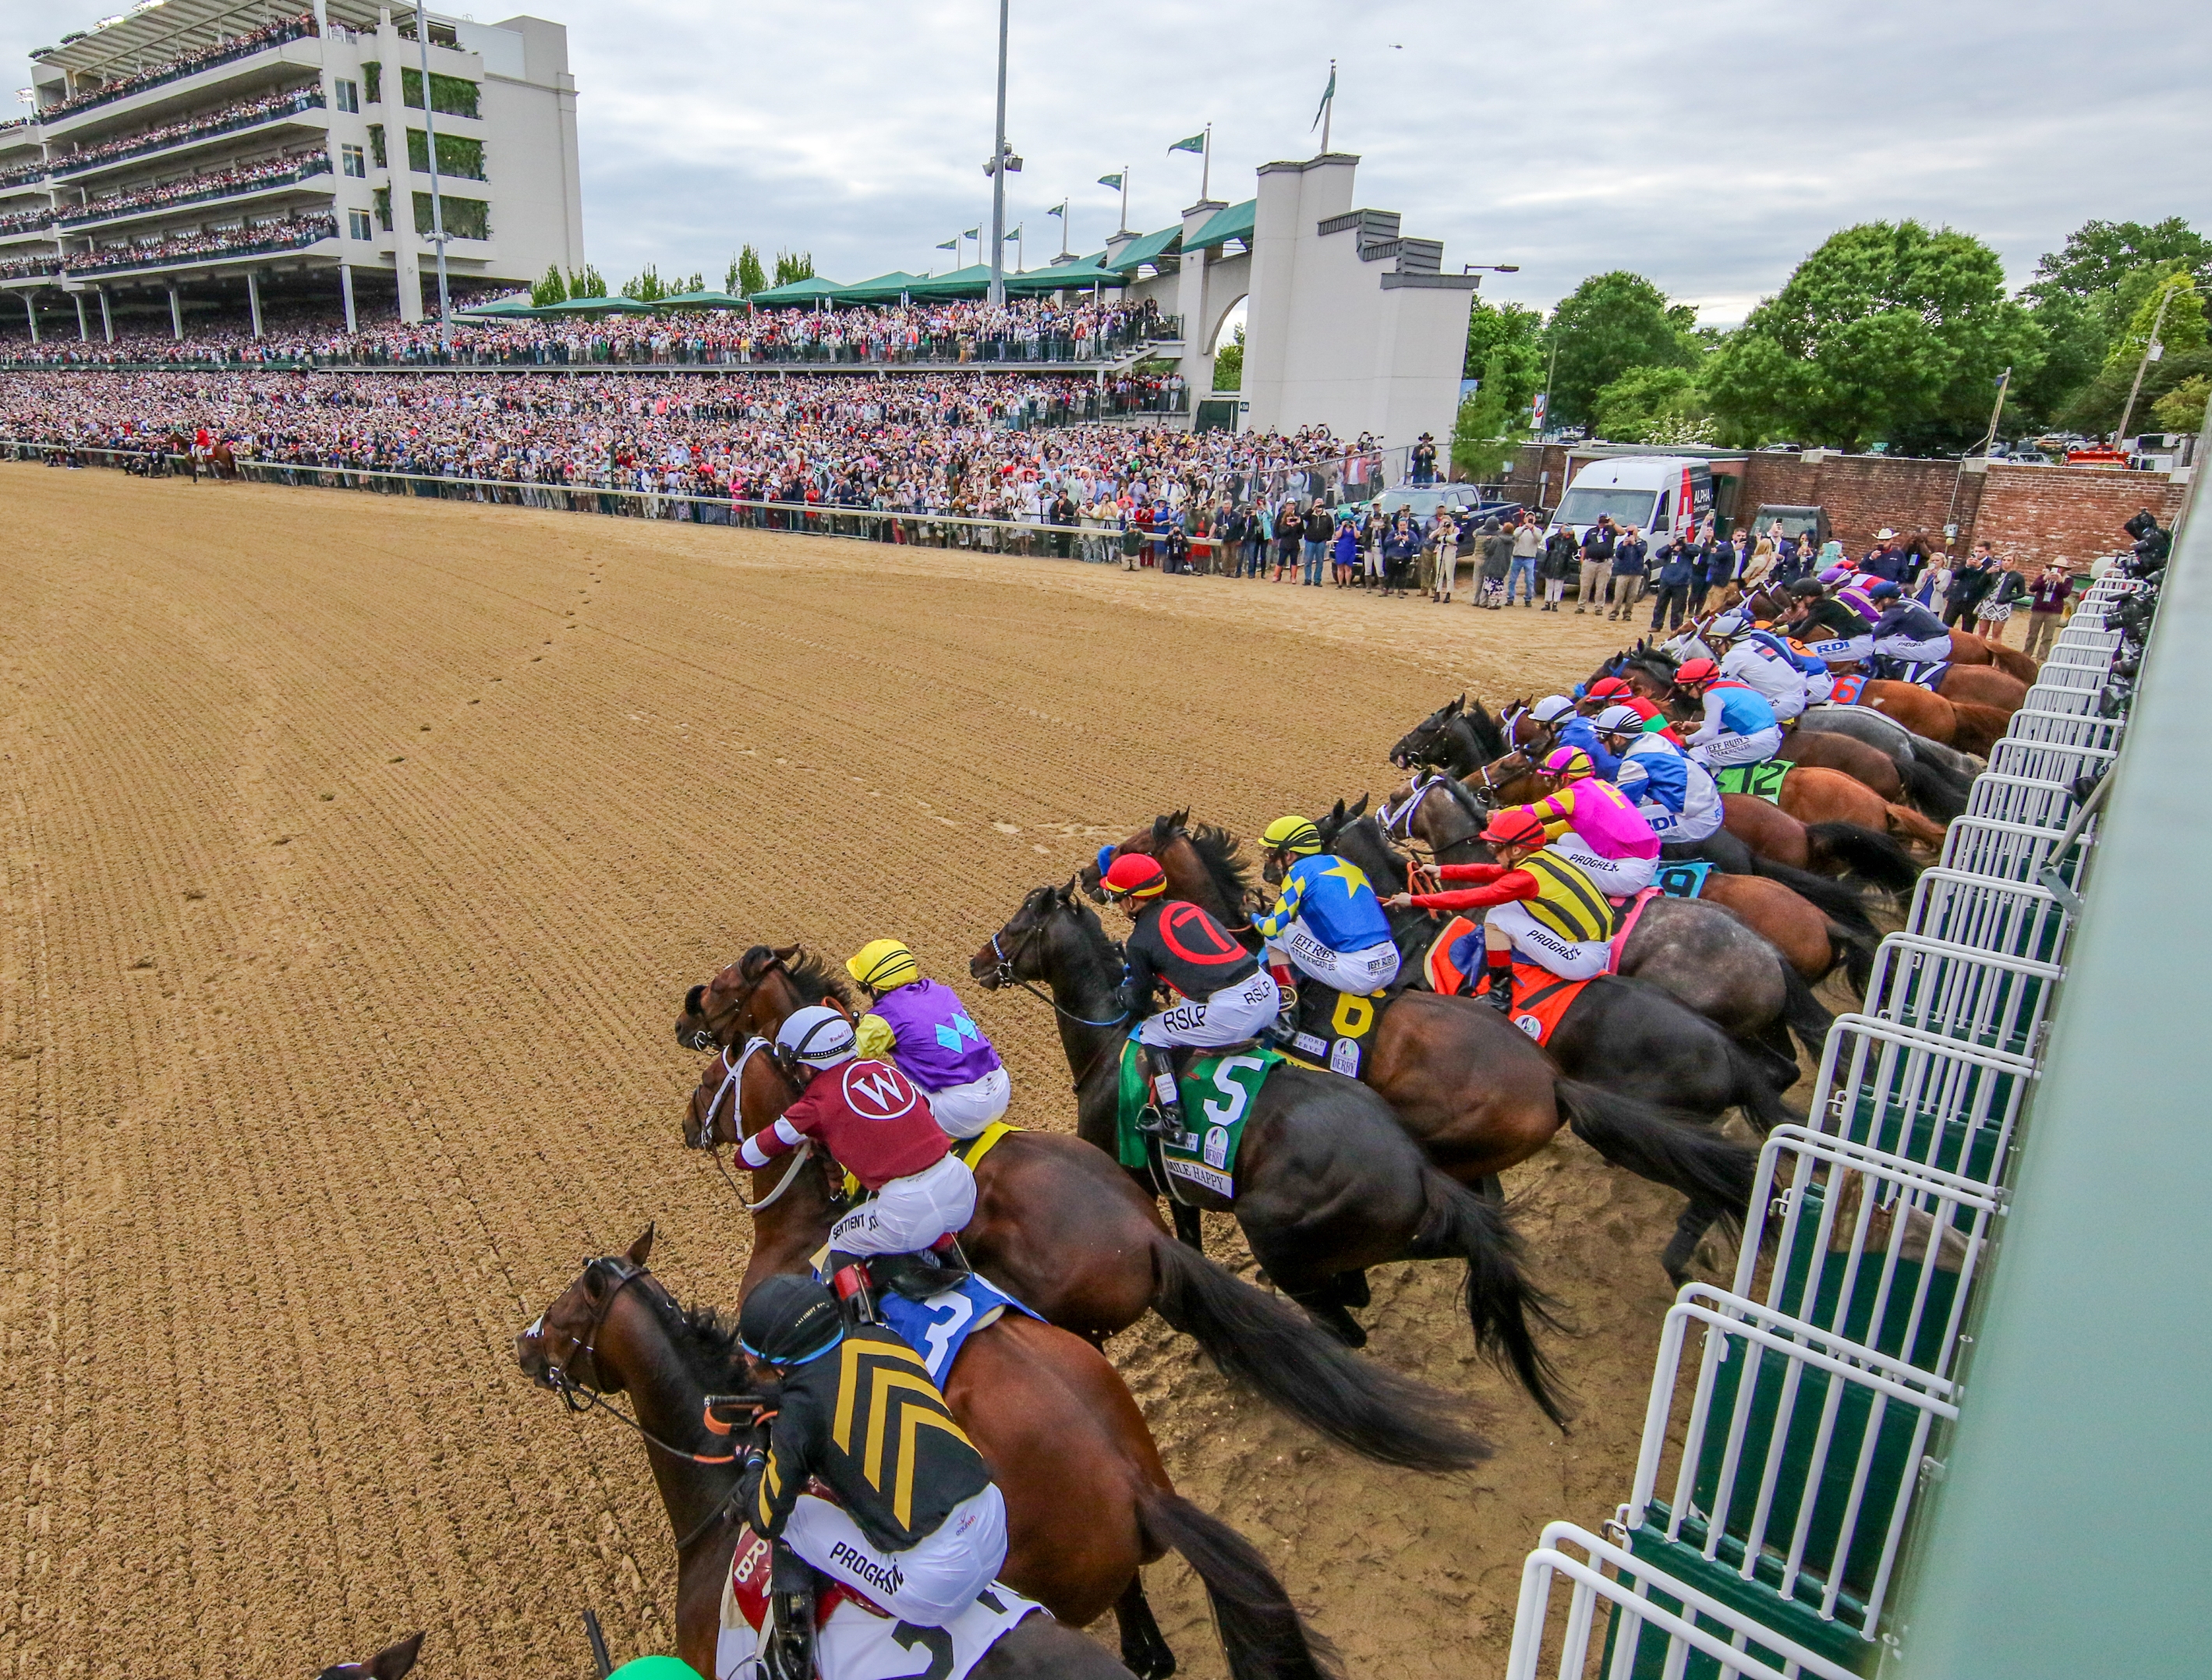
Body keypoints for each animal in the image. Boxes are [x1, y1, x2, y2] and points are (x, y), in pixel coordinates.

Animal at [977, 884, 1566, 1414]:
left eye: (1017, 921)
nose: (977, 960)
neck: (1109, 1043)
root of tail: (1414, 1168)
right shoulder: (1178, 1187)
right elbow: (1190, 1246)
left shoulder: (1137, 1176)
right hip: (1393, 1223)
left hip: (1278, 1234)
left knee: (1343, 1322)